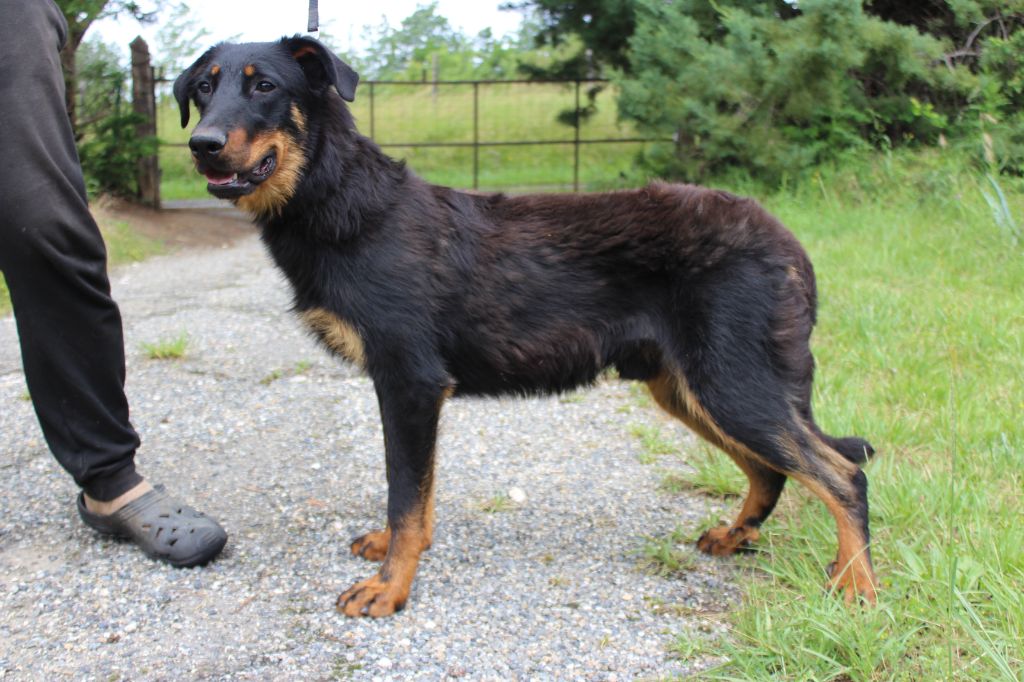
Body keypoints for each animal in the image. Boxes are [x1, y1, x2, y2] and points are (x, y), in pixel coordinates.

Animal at [174, 37, 878, 617]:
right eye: (204, 88)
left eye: (265, 85)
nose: (201, 146)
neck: (341, 197)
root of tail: (789, 245)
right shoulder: (414, 394)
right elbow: (417, 498)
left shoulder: (410, 383)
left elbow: (406, 496)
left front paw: (392, 589)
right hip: (688, 388)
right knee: (773, 471)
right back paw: (738, 537)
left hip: (730, 384)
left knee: (841, 473)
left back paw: (856, 585)